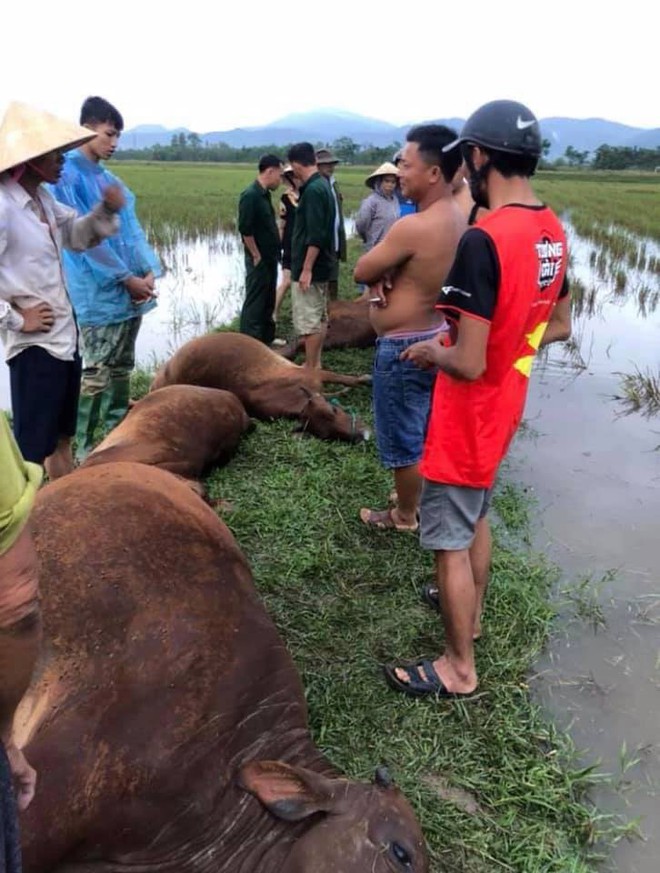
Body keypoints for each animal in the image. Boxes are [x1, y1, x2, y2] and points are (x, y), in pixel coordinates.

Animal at [151, 334, 374, 442]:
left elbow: (346, 380)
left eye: (334, 410)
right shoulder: (312, 376)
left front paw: (365, 380)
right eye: (327, 436)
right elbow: (345, 382)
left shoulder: (314, 375)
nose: (363, 435)